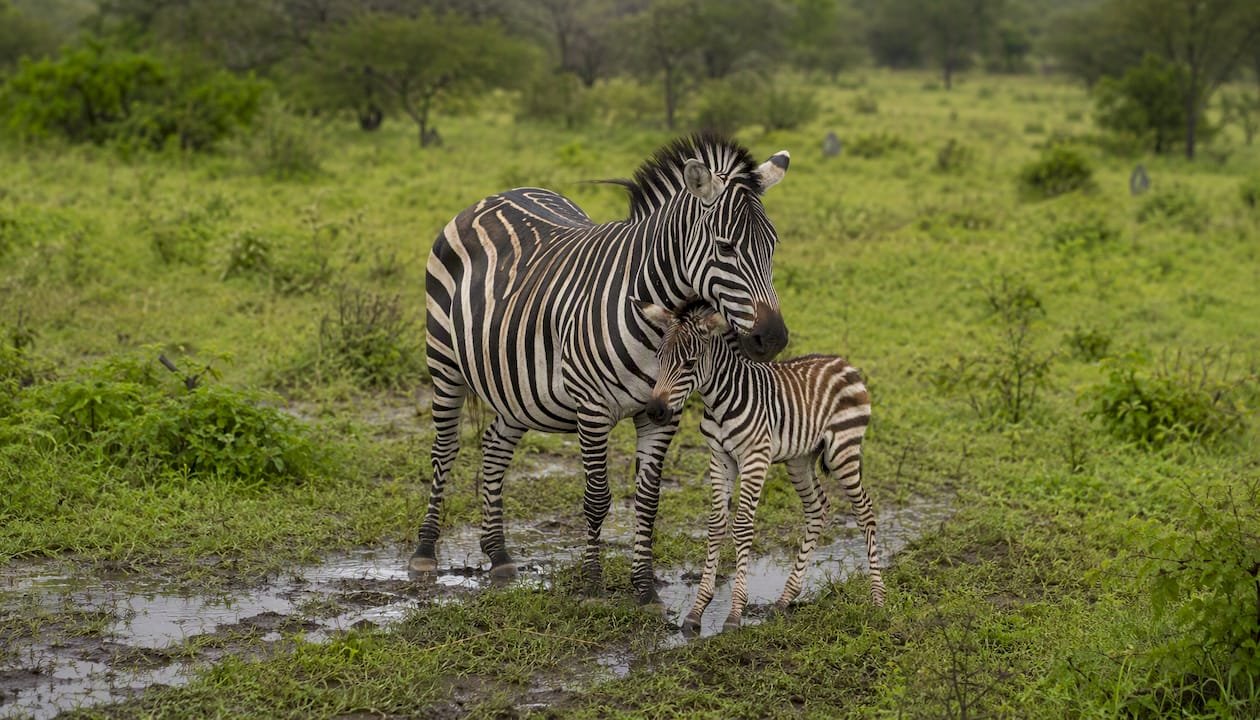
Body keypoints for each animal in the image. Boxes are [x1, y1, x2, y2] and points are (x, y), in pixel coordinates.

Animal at [412, 133, 793, 604]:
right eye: (726, 247)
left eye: (773, 245)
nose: (773, 339)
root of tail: (497, 195)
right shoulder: (592, 409)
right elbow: (596, 498)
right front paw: (593, 584)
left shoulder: (662, 412)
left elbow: (648, 499)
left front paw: (645, 588)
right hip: (443, 360)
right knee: (445, 449)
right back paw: (425, 551)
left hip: (515, 385)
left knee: (495, 445)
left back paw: (498, 554)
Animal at [635, 300, 884, 633]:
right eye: (659, 359)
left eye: (689, 363)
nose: (656, 412)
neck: (720, 401)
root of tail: (844, 363)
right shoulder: (720, 457)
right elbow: (716, 524)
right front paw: (697, 611)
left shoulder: (755, 457)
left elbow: (742, 526)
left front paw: (734, 614)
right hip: (799, 459)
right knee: (817, 508)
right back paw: (785, 598)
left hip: (843, 449)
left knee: (865, 509)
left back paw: (878, 599)